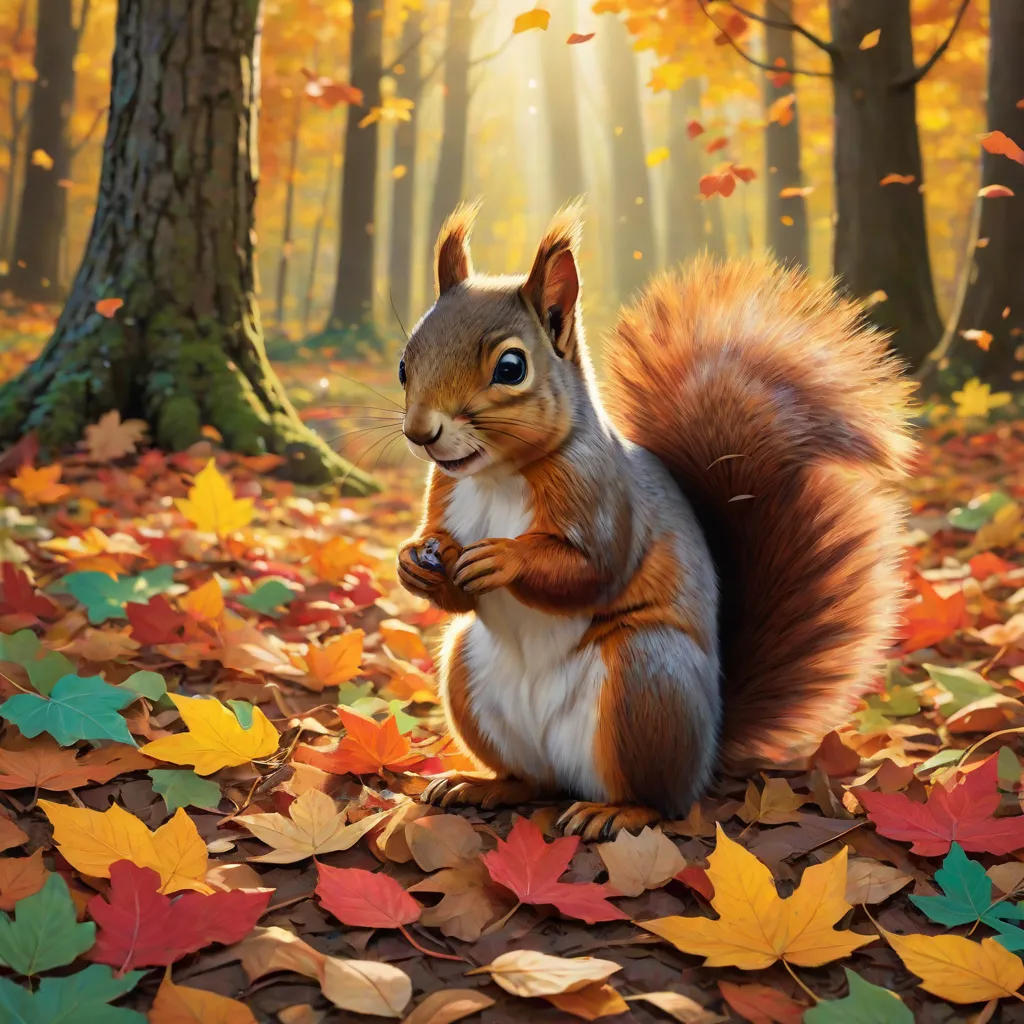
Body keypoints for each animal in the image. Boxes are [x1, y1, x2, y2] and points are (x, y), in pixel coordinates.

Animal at [396, 202, 914, 840]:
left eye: (512, 367)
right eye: (405, 362)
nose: (421, 432)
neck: (498, 474)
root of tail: (708, 751)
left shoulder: (605, 497)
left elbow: (592, 570)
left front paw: (504, 557)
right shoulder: (445, 496)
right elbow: (452, 581)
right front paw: (413, 562)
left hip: (645, 680)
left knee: (661, 799)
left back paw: (614, 811)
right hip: (469, 674)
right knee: (531, 780)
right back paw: (480, 784)